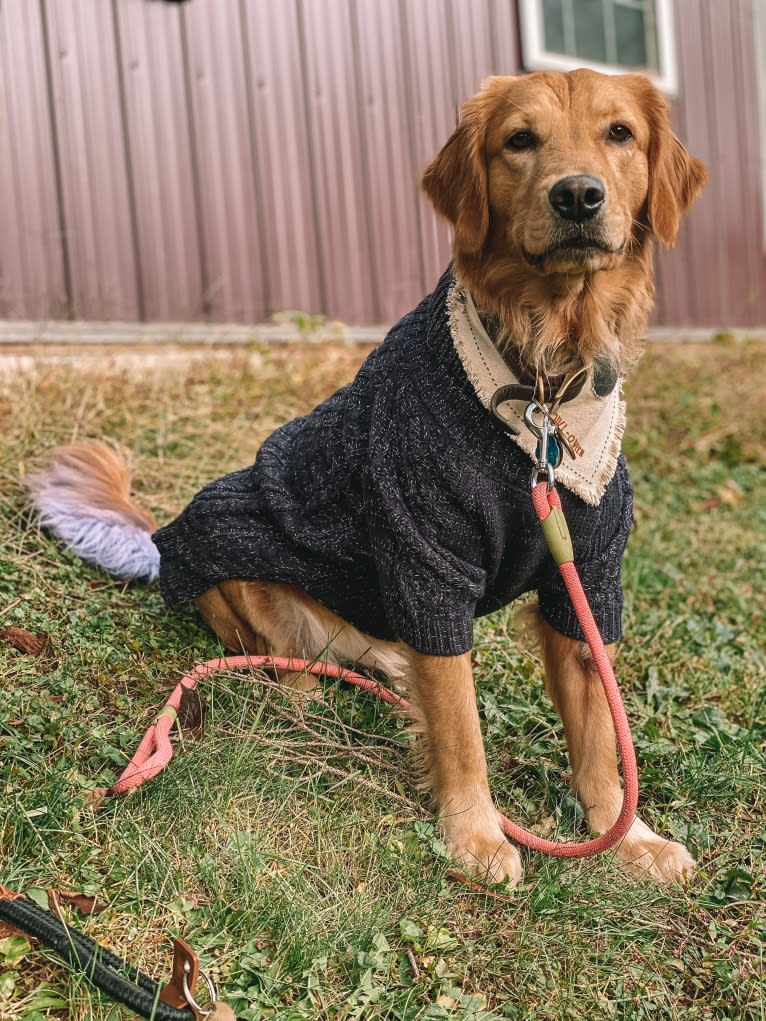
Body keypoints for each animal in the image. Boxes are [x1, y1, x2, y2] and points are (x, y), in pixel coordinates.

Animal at [27, 69, 710, 886]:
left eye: (619, 134)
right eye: (520, 140)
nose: (577, 195)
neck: (541, 380)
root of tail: (162, 543)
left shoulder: (586, 578)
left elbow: (601, 736)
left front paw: (626, 834)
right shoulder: (429, 567)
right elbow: (462, 730)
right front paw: (476, 834)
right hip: (245, 581)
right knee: (285, 665)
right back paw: (309, 695)